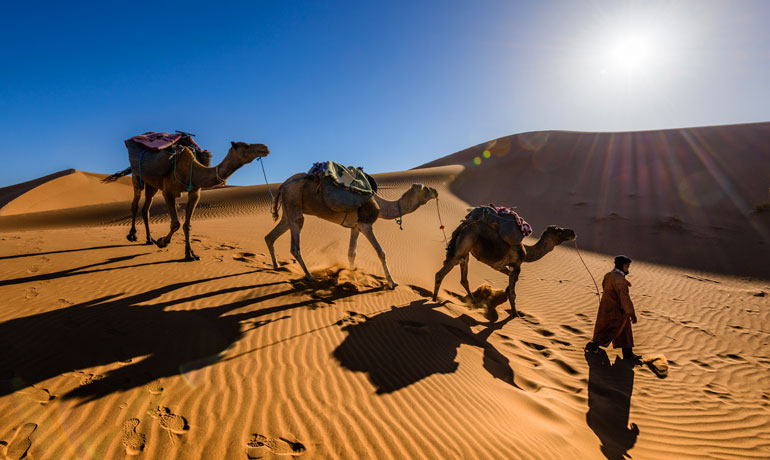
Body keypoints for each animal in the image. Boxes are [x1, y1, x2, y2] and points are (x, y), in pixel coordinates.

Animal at [104, 142, 268, 260]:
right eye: (246, 145)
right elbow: (175, 223)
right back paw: (132, 235)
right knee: (135, 204)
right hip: (137, 176)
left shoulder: (195, 192)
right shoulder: (168, 191)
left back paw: (149, 239)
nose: (265, 148)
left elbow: (187, 225)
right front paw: (162, 242)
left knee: (146, 209)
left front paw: (190, 254)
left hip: (152, 185)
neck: (193, 170)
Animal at [264, 172, 436, 288]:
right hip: (294, 203)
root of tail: (283, 185)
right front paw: (392, 282)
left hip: (288, 210)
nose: (435, 191)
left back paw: (277, 266)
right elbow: (381, 252)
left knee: (271, 235)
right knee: (295, 244)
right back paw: (310, 276)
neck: (380, 206)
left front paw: (352, 275)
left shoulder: (355, 226)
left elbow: (351, 253)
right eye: (425, 189)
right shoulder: (366, 225)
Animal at [432, 211, 568, 316]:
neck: (527, 252)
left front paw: (506, 294)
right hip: (462, 247)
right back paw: (433, 300)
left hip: (465, 251)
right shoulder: (516, 266)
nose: (571, 232)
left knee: (464, 278)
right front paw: (516, 314)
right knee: (441, 274)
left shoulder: (501, 266)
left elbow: (512, 281)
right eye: (559, 231)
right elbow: (513, 293)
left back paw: (474, 301)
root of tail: (462, 226)